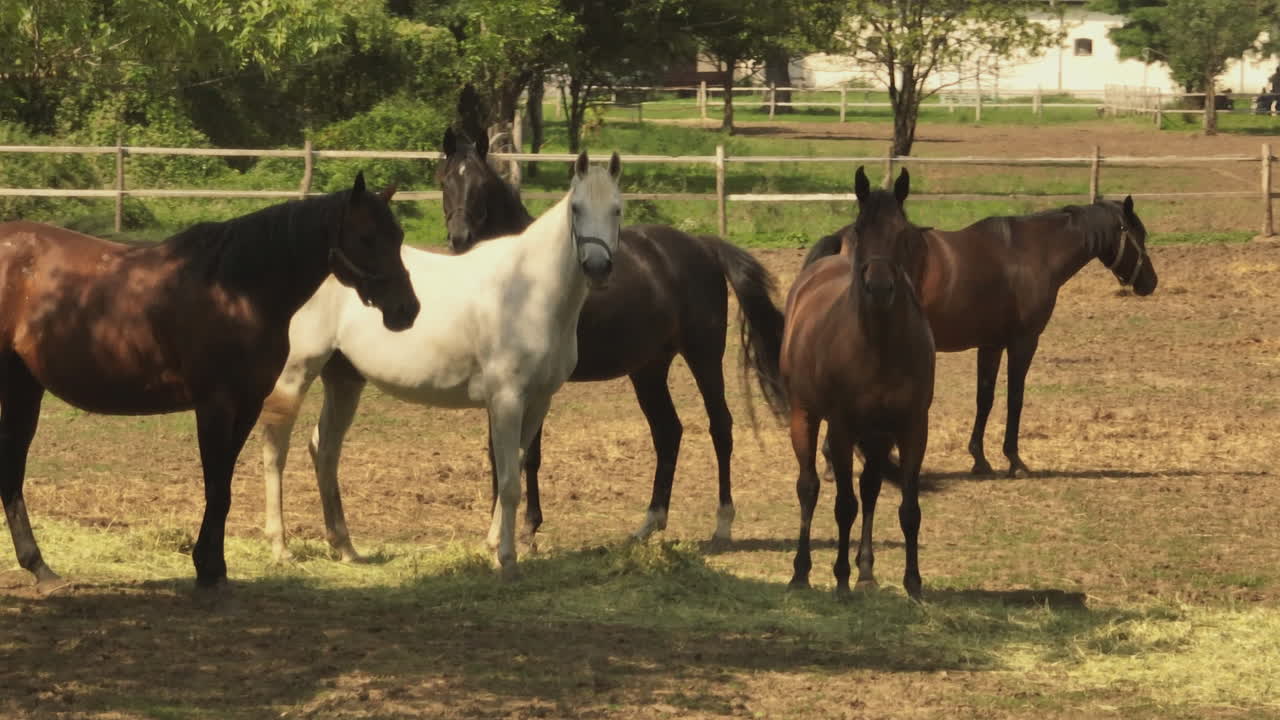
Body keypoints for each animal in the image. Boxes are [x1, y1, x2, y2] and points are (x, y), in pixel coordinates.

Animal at [0, 172, 419, 593]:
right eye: (366, 237)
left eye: (398, 235)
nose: (407, 310)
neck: (236, 289)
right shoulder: (215, 404)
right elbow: (216, 488)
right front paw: (207, 568)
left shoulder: (247, 404)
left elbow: (224, 486)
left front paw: (215, 566)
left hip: (24, 388)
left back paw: (42, 570)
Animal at [260, 151, 621, 577]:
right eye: (576, 209)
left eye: (617, 210)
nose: (597, 267)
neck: (531, 291)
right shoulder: (507, 399)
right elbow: (509, 482)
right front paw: (507, 559)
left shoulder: (538, 401)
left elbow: (513, 466)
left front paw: (492, 546)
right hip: (295, 373)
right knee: (276, 448)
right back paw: (280, 546)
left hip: (344, 380)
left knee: (326, 450)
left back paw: (345, 547)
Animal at [437, 127, 785, 544]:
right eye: (445, 180)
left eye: (481, 185)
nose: (460, 237)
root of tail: (703, 246)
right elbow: (498, 452)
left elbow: (526, 454)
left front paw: (527, 527)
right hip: (649, 370)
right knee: (668, 431)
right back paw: (650, 522)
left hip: (703, 356)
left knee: (720, 427)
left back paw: (722, 523)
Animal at [769, 167, 935, 599]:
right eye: (861, 228)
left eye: (902, 231)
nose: (879, 287)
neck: (879, 348)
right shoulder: (842, 428)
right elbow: (844, 504)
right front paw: (840, 577)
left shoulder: (912, 427)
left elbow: (908, 509)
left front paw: (912, 582)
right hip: (805, 416)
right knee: (809, 487)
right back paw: (801, 573)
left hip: (875, 435)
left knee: (870, 489)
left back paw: (866, 571)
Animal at [803, 194, 1158, 477]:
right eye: (1139, 234)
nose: (1150, 282)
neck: (1034, 252)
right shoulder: (1023, 342)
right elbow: (1015, 397)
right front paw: (1014, 460)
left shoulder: (990, 345)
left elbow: (984, 398)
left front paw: (979, 458)